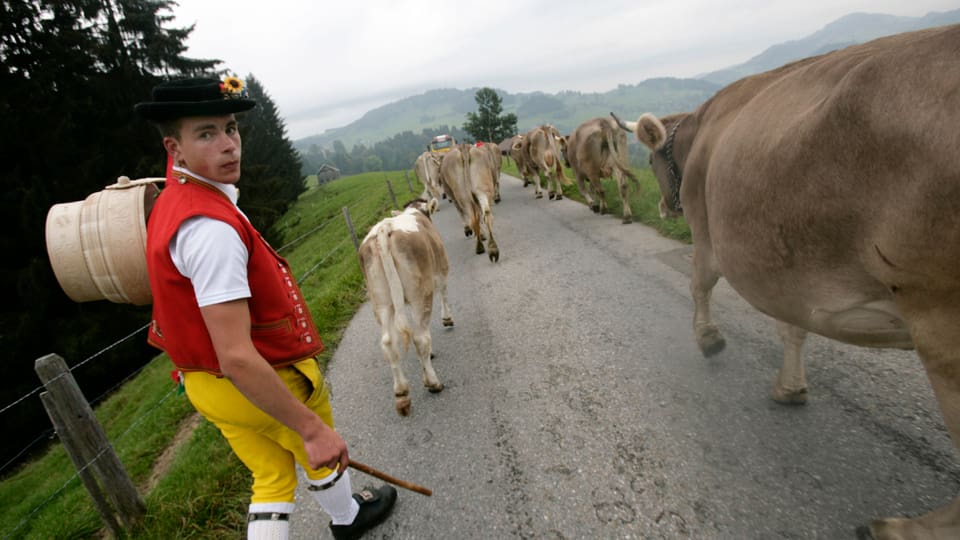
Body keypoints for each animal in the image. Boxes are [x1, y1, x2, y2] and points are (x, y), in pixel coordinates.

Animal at [616, 26, 960, 540]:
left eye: (656, 160)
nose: (661, 206)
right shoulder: (787, 268)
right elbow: (793, 326)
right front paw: (792, 388)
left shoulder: (710, 234)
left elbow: (702, 287)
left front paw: (709, 338)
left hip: (940, 319)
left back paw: (901, 528)